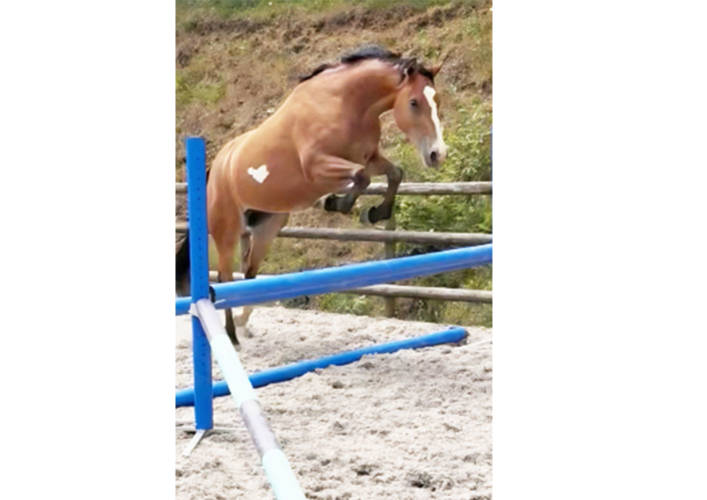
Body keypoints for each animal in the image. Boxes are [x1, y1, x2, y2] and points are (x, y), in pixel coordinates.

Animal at [176, 45, 448, 346]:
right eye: (413, 102)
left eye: (436, 100)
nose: (438, 154)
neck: (347, 104)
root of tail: (216, 167)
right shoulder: (318, 166)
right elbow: (361, 178)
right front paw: (336, 202)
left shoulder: (369, 158)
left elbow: (394, 173)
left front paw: (376, 212)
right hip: (227, 230)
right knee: (225, 278)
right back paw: (232, 336)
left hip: (267, 226)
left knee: (250, 273)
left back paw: (244, 324)